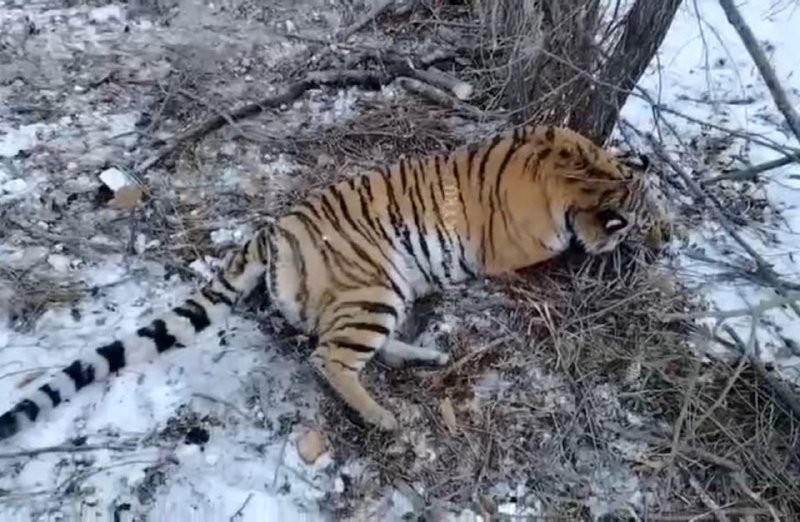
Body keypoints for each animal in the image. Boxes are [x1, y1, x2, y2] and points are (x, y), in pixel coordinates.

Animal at [0, 124, 665, 440]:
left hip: (388, 289)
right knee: (330, 358)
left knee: (367, 348)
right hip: (375, 287)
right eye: (645, 224)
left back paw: (427, 355)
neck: (579, 170)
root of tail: (271, 232)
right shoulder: (515, 250)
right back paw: (382, 418)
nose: (659, 243)